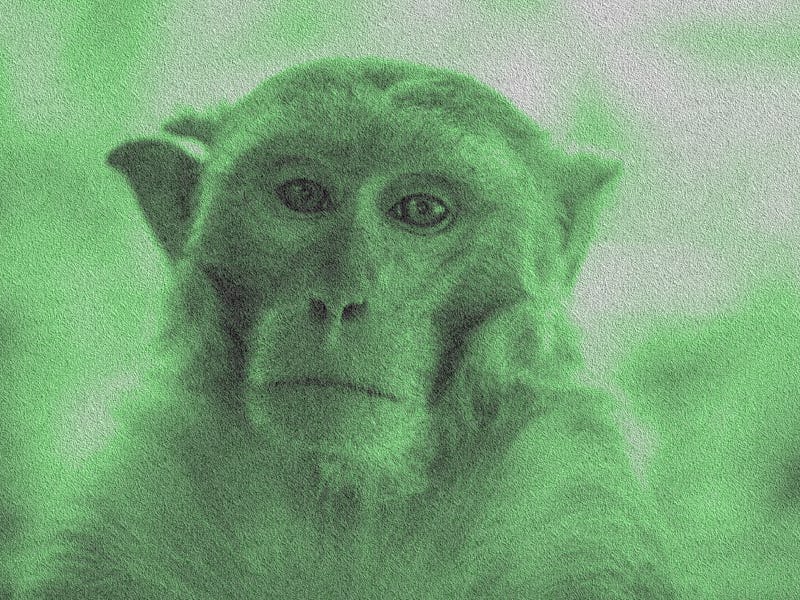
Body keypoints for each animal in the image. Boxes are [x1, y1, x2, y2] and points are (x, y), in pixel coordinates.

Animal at [30, 56, 676, 599]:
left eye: (422, 210)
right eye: (302, 194)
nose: (338, 299)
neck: (348, 496)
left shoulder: (571, 499)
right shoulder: (142, 484)